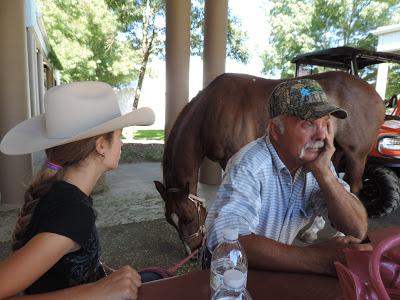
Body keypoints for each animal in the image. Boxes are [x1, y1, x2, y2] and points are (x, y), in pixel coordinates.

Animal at [154, 71, 384, 254]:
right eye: (170, 221)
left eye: (188, 218)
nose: (191, 250)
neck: (212, 108)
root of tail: (376, 96)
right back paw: (313, 230)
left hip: (356, 155)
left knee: (354, 186)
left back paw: (341, 235)